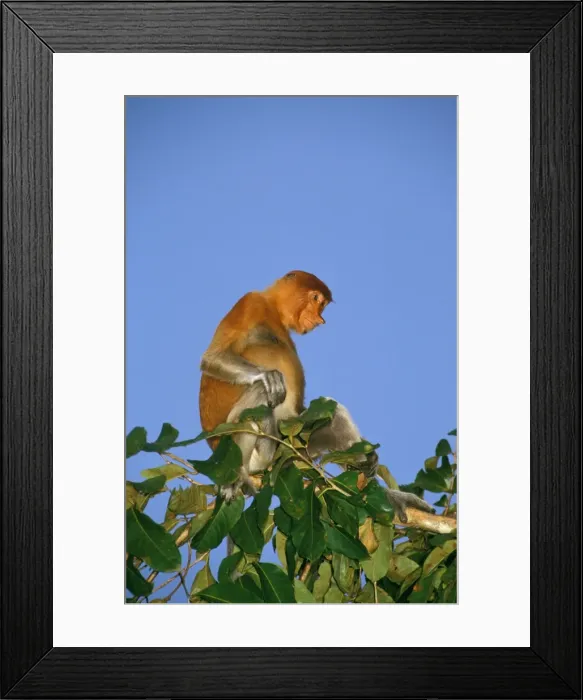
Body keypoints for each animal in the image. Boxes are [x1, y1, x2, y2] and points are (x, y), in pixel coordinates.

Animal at [199, 270, 433, 522]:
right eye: (315, 299)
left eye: (322, 304)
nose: (320, 319)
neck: (273, 309)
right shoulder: (249, 303)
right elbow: (213, 358)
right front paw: (268, 375)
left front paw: (372, 458)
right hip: (247, 448)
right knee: (261, 392)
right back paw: (238, 476)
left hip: (292, 449)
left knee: (332, 413)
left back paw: (380, 489)